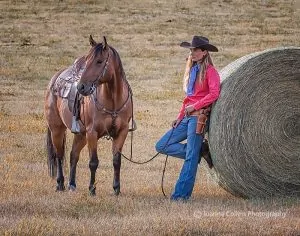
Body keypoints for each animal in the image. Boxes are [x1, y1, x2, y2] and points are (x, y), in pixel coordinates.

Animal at [44, 35, 133, 195]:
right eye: (87, 60)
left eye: (99, 61)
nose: (81, 87)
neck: (113, 101)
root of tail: (54, 79)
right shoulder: (92, 133)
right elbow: (93, 162)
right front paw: (92, 189)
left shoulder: (121, 132)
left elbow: (117, 161)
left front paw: (116, 188)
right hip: (56, 129)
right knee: (59, 155)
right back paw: (60, 184)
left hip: (81, 134)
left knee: (73, 155)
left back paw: (72, 184)